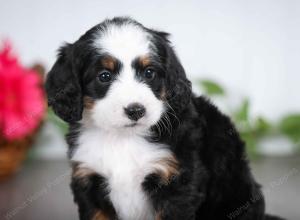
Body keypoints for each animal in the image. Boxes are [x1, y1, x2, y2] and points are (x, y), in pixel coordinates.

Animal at [45, 16, 284, 220]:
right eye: (104, 76)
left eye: (149, 73)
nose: (136, 110)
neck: (123, 138)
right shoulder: (89, 180)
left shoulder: (176, 183)